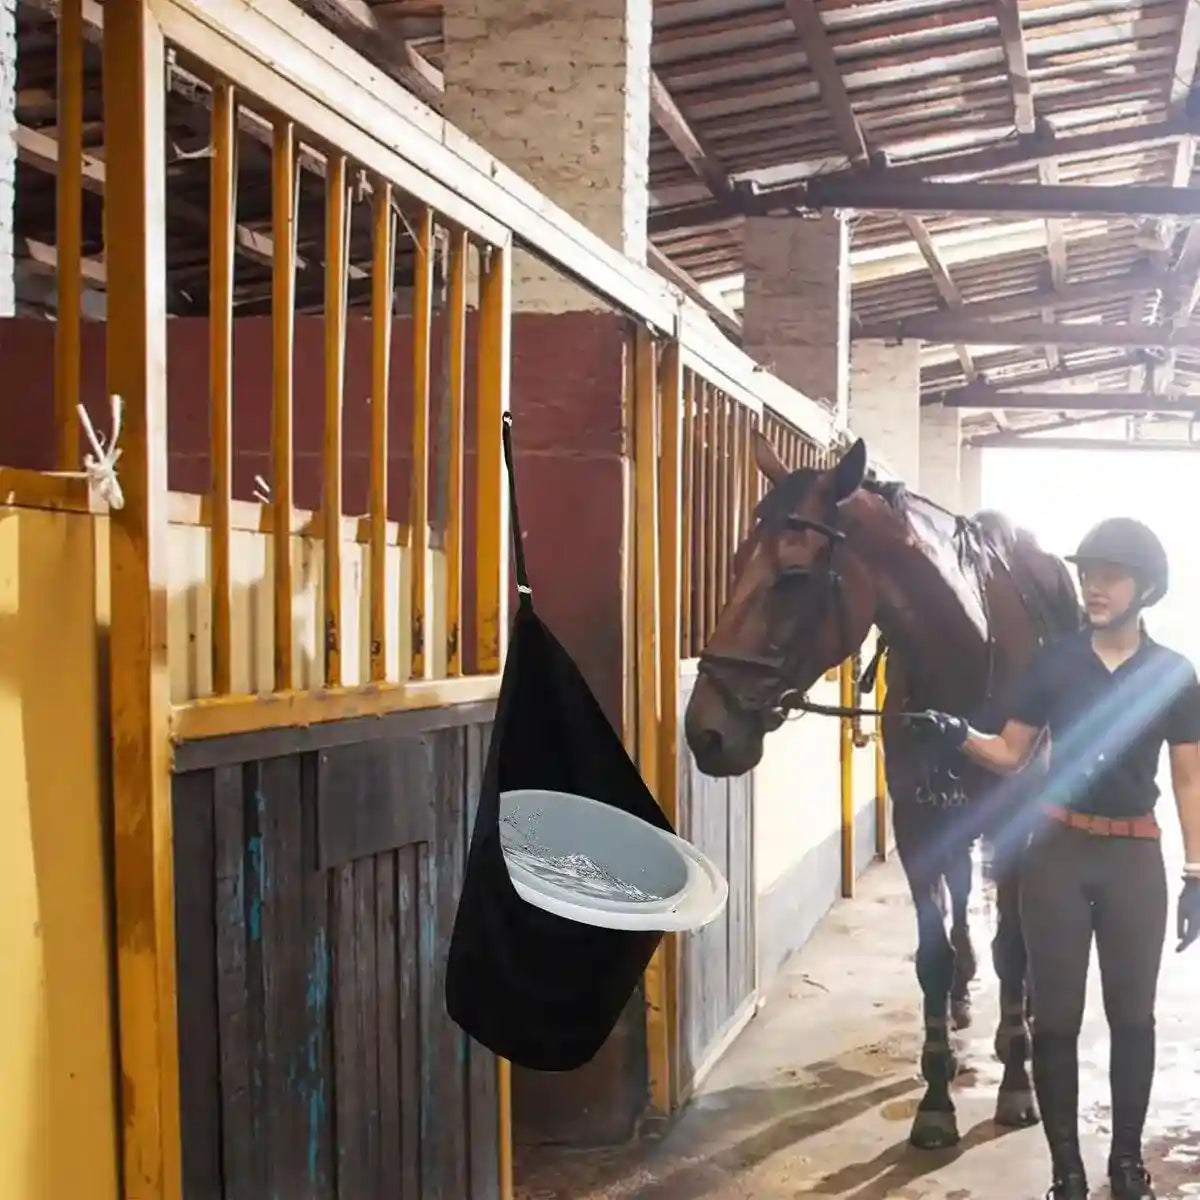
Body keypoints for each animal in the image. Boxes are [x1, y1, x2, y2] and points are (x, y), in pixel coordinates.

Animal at [684, 433, 1082, 1151]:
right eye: (733, 564)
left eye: (793, 575)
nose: (707, 730)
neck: (966, 650)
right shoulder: (919, 821)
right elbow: (931, 953)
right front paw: (937, 1096)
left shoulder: (1012, 818)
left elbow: (1013, 947)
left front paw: (1016, 1081)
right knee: (961, 901)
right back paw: (961, 997)